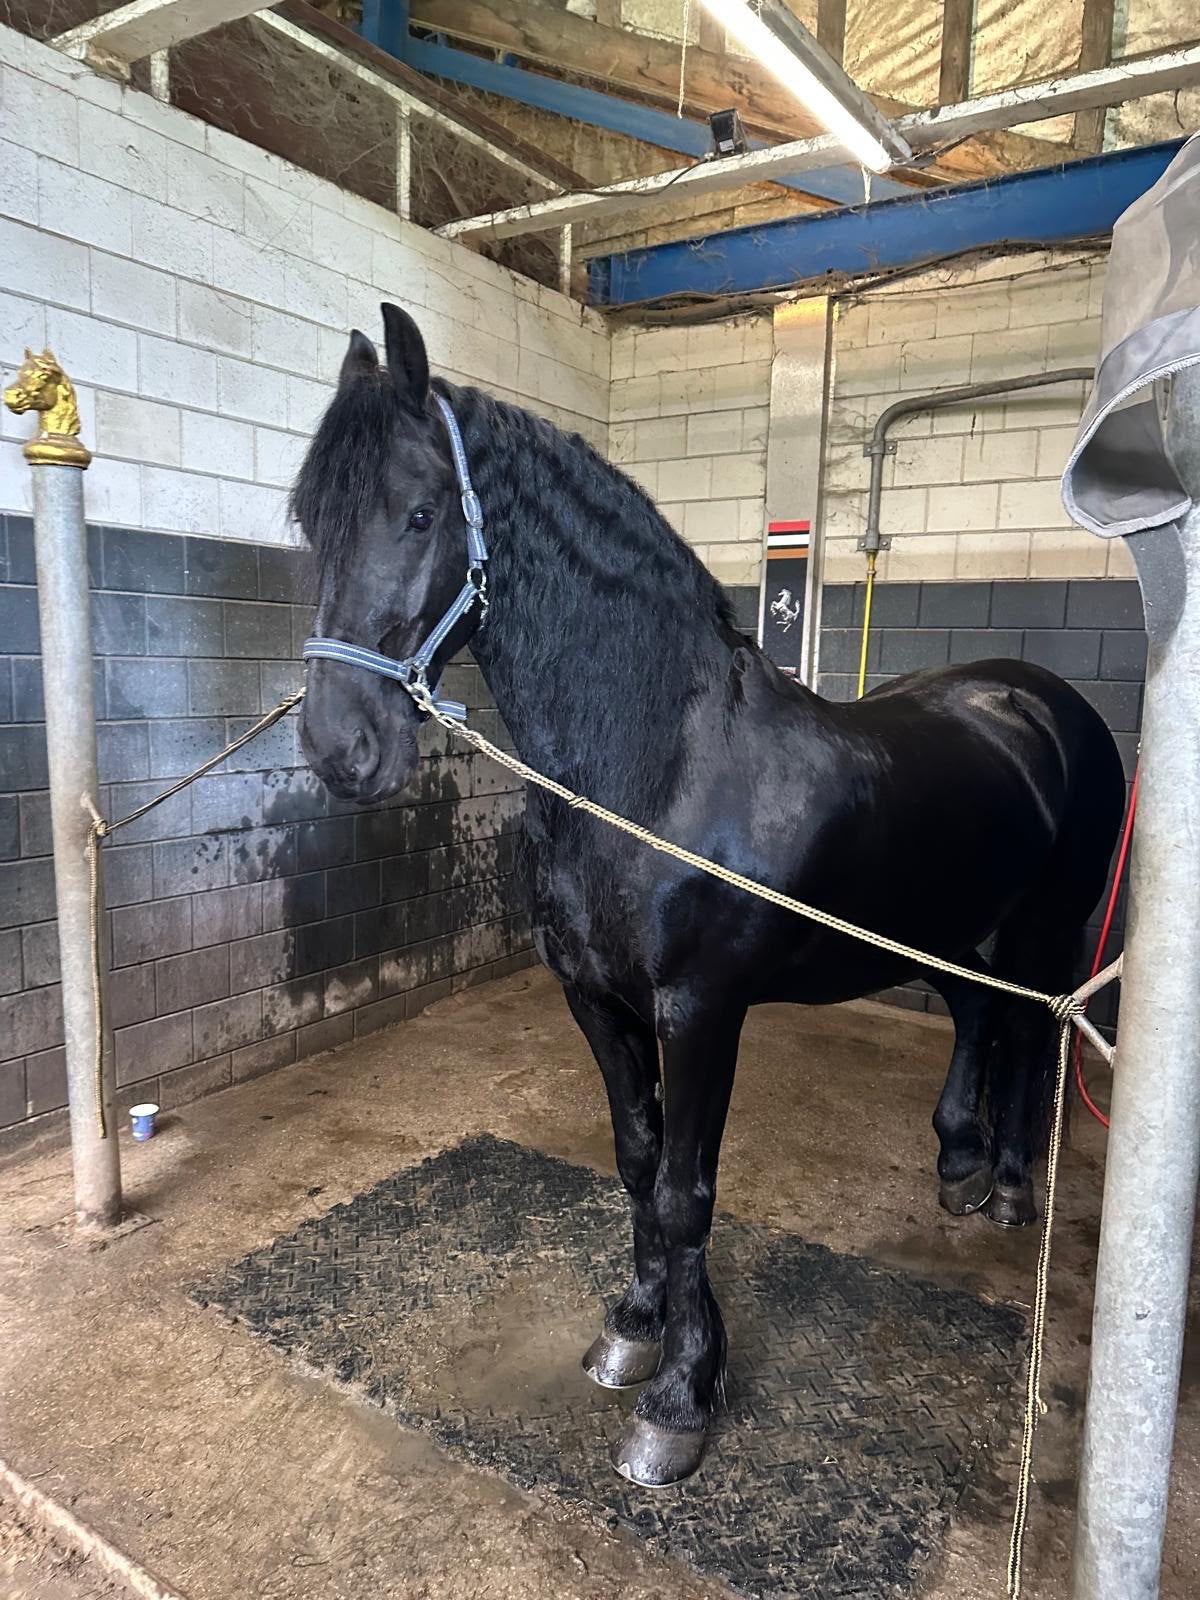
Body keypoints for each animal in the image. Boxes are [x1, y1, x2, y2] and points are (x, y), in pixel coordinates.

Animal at [294, 304, 1125, 1489]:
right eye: (307, 521)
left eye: (418, 513)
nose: (341, 749)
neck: (656, 767)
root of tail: (1038, 700)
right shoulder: (594, 999)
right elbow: (638, 1160)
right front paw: (634, 1328)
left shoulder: (700, 1011)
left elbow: (688, 1190)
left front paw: (682, 1398)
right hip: (951, 930)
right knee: (981, 1020)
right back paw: (961, 1165)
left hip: (1047, 931)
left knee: (1036, 1039)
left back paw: (1013, 1185)